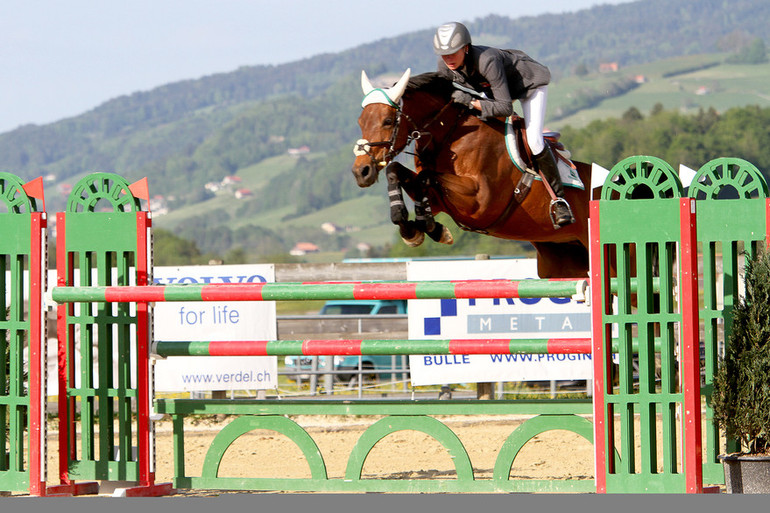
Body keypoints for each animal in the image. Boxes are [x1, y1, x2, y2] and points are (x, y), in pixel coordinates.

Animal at [352, 68, 592, 278]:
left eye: (388, 121)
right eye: (361, 121)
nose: (361, 172)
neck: (450, 134)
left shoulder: (480, 202)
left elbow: (425, 177)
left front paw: (430, 227)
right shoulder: (438, 199)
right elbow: (397, 172)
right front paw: (412, 228)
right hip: (561, 256)